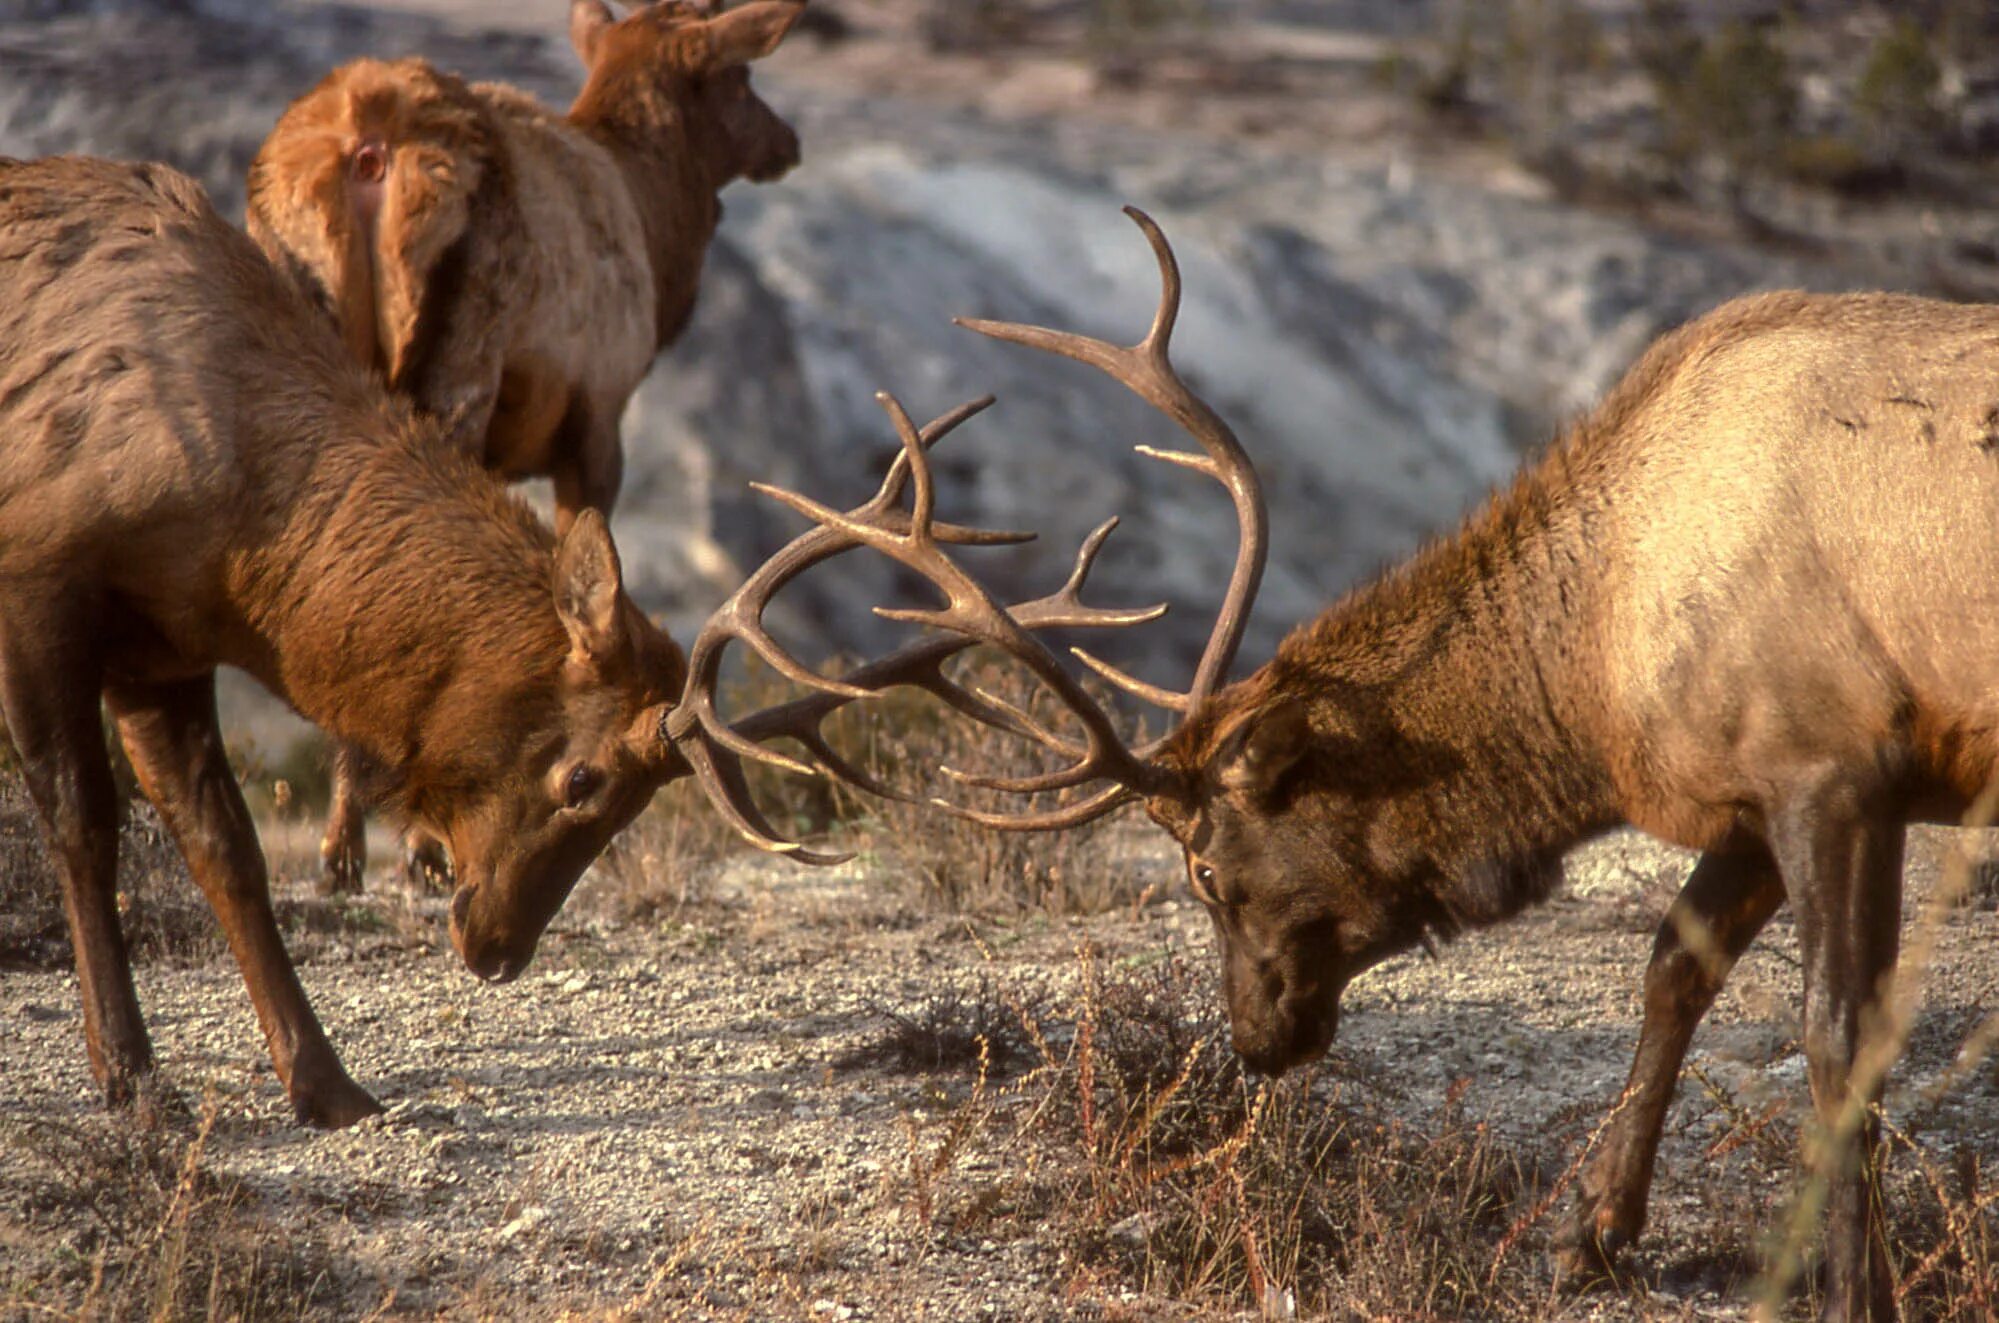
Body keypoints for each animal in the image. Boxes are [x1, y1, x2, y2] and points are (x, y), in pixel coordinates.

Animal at [249, 0, 803, 895]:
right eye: (741, 75)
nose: (787, 139)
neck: (653, 224)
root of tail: (367, 151)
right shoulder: (598, 413)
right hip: (462, 352)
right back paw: (418, 847)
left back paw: (343, 852)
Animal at [739, 214, 1999, 1323]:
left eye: (1206, 871)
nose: (1254, 1041)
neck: (1600, 669)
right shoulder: (1753, 793)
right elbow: (1670, 970)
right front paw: (1584, 1234)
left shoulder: (1829, 767)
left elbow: (1837, 1036)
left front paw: (1852, 1293)